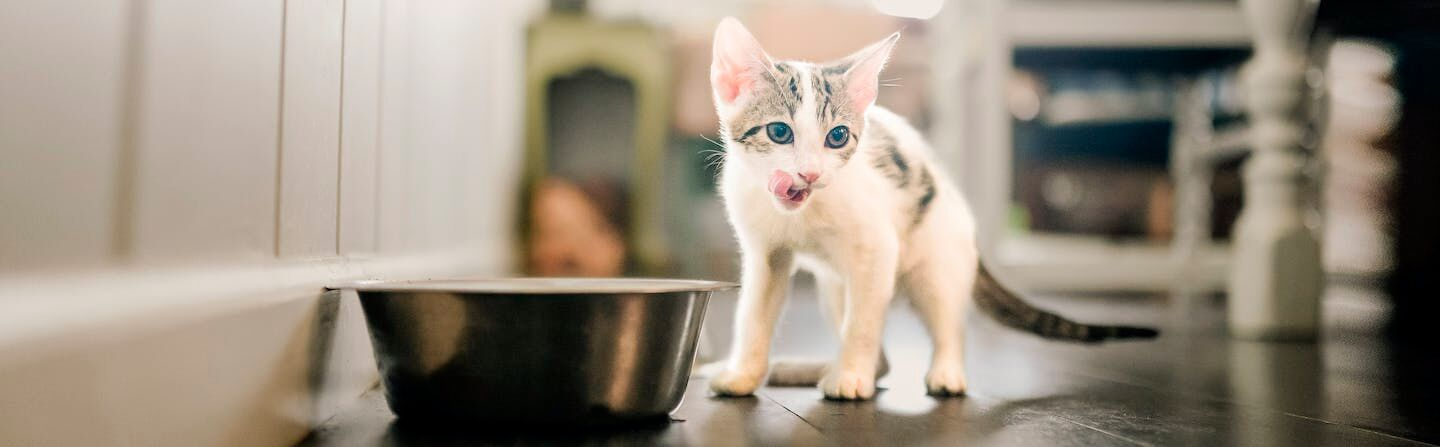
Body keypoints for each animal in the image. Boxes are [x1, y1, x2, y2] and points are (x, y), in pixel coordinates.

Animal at [702, 18, 1152, 400]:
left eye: (837, 137)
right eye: (779, 132)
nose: (810, 174)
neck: (801, 214)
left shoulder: (878, 250)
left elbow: (862, 324)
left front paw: (850, 377)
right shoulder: (767, 254)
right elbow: (754, 315)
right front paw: (743, 376)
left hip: (937, 262)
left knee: (945, 319)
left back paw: (943, 373)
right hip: (835, 285)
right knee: (880, 357)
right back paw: (805, 369)